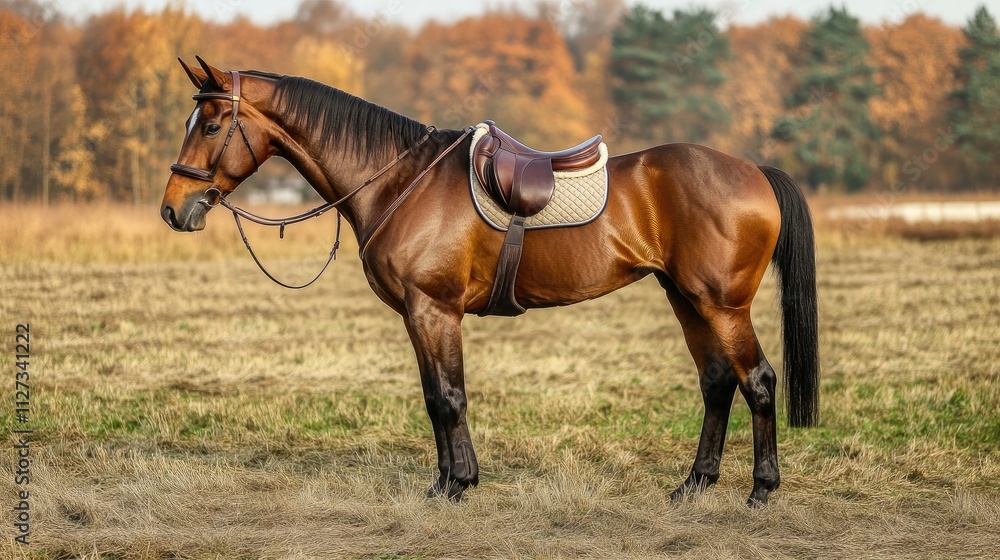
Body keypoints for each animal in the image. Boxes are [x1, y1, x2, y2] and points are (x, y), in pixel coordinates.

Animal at [160, 57, 819, 507]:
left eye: (212, 125)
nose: (174, 209)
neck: (399, 179)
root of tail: (752, 170)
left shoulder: (433, 310)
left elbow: (448, 397)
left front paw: (457, 484)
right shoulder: (419, 315)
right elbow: (436, 397)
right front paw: (449, 479)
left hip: (722, 304)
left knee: (758, 381)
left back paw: (762, 489)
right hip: (686, 298)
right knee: (717, 383)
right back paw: (694, 484)